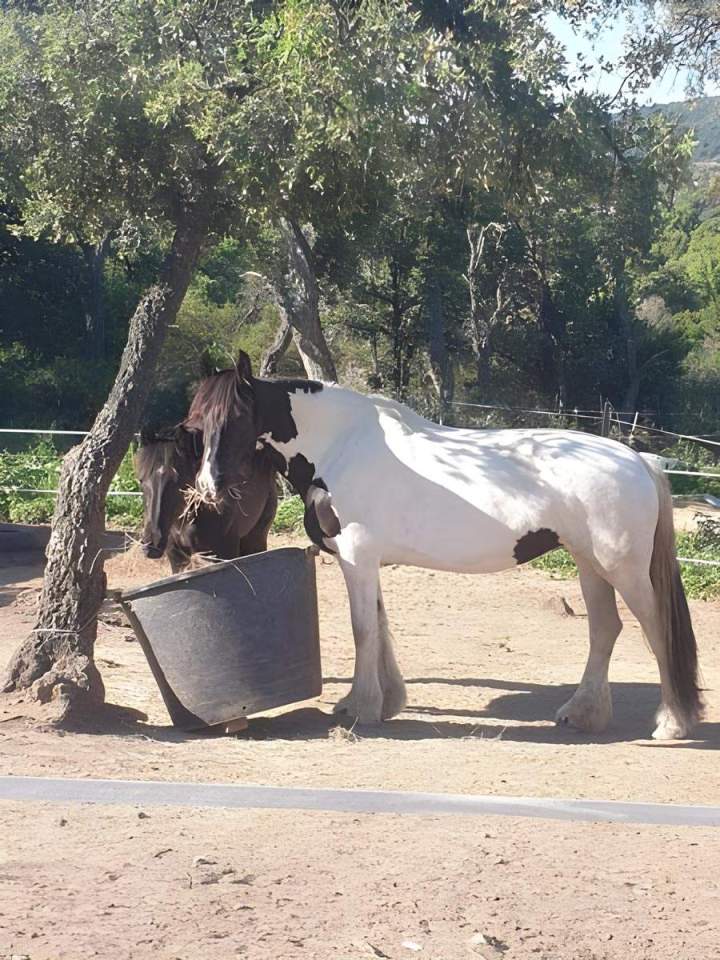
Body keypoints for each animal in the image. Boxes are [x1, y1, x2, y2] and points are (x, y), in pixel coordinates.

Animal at [135, 425, 278, 573]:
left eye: (177, 482)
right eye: (141, 480)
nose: (152, 543)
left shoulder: (223, 554)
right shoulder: (177, 558)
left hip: (256, 538)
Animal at [189, 351, 703, 740]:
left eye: (238, 416)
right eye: (196, 421)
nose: (209, 487)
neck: (343, 446)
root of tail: (637, 458)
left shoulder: (357, 557)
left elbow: (363, 630)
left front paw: (361, 707)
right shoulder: (368, 561)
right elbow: (380, 626)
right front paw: (387, 701)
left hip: (623, 570)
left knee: (655, 629)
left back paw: (672, 724)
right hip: (589, 564)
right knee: (605, 630)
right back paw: (583, 713)